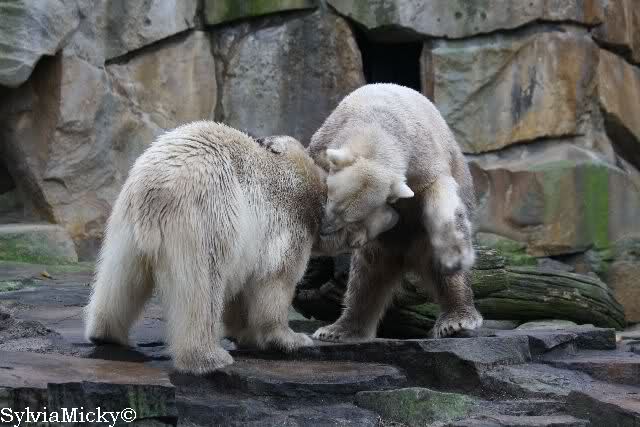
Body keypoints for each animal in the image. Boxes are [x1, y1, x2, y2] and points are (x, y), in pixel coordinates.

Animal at [84, 121, 398, 374]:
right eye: (383, 207)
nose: (397, 217)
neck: (314, 190)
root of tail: (157, 188)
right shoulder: (289, 223)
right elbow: (275, 280)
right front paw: (290, 339)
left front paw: (244, 333)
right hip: (208, 214)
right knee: (203, 286)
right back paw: (208, 358)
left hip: (125, 221)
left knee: (119, 277)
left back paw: (105, 333)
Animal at [306, 83, 483, 340]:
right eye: (331, 203)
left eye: (350, 219)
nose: (325, 230)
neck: (374, 124)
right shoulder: (324, 142)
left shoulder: (421, 157)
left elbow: (437, 189)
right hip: (381, 248)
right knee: (366, 278)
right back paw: (339, 329)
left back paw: (456, 320)